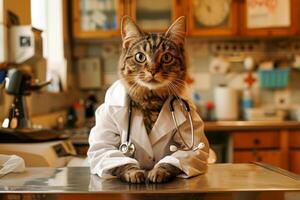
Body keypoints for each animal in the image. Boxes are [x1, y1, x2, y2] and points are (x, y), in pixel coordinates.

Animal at [112, 16, 188, 184]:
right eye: (140, 57)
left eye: (166, 57)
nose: (153, 70)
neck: (151, 100)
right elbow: (115, 158)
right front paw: (133, 172)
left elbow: (178, 158)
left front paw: (159, 171)